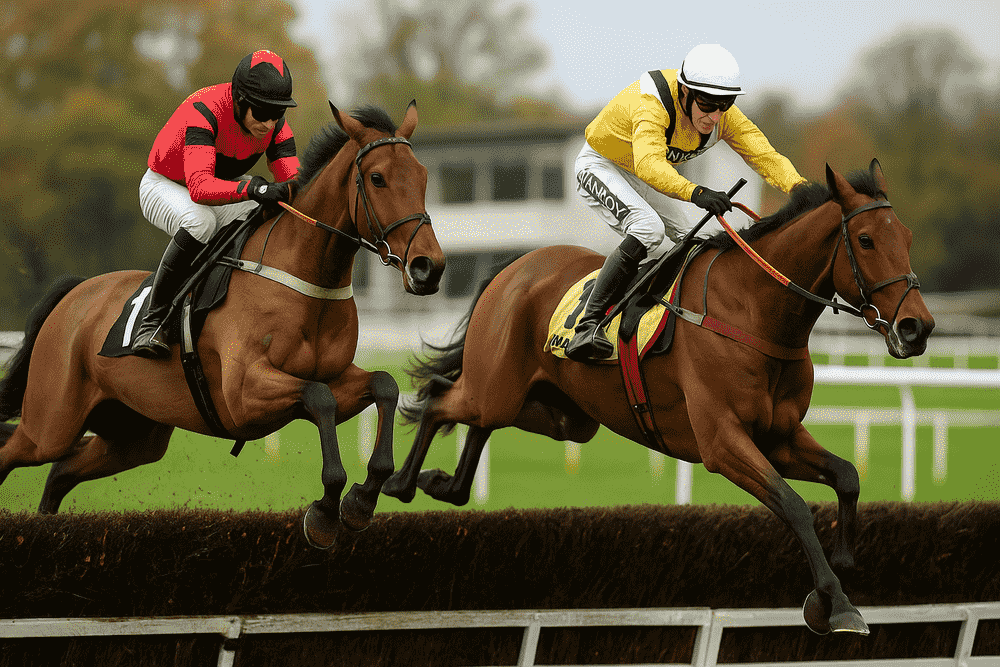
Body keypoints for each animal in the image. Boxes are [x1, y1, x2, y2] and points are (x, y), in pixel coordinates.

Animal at [0, 101, 444, 549]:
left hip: (132, 434)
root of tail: (74, 293)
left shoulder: (335, 375)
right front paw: (324, 511)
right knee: (17, 450)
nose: (429, 267)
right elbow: (320, 398)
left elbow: (383, 385)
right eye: (377, 178)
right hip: (51, 423)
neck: (302, 276)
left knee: (60, 471)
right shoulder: (245, 393)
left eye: (424, 176)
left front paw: (360, 500)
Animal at [381, 159, 935, 635]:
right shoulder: (721, 442)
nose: (917, 327)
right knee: (441, 400)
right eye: (865, 239)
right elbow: (794, 505)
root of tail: (515, 265)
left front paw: (843, 563)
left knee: (478, 420)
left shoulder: (777, 435)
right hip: (496, 388)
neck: (754, 311)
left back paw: (443, 483)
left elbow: (847, 475)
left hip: (562, 413)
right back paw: (400, 481)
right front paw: (834, 601)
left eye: (907, 238)